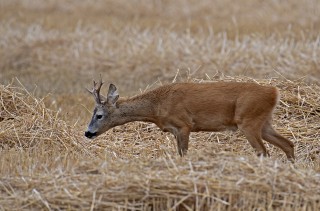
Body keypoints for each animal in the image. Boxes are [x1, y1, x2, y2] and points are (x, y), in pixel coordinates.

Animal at [85, 77, 296, 160]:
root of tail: (274, 92)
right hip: (264, 122)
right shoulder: (174, 130)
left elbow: (183, 153)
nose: (87, 133)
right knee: (288, 143)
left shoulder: (184, 125)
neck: (156, 107)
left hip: (249, 121)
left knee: (263, 151)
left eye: (99, 115)